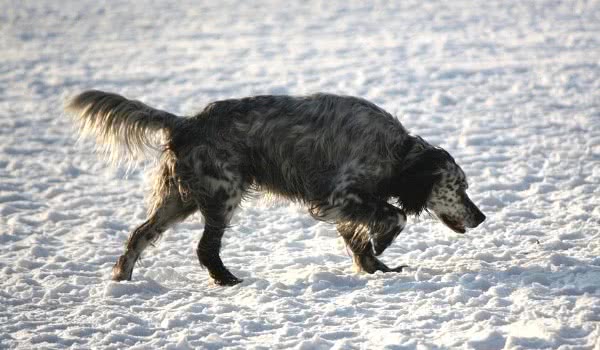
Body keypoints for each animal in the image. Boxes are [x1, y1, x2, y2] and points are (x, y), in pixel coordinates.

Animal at [67, 91, 488, 286]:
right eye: (459, 187)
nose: (481, 217)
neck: (397, 153)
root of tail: (185, 122)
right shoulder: (341, 196)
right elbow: (395, 216)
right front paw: (382, 245)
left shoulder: (343, 204)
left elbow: (360, 240)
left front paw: (378, 268)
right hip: (223, 195)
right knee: (205, 249)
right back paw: (228, 281)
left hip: (179, 200)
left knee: (138, 235)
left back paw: (121, 281)